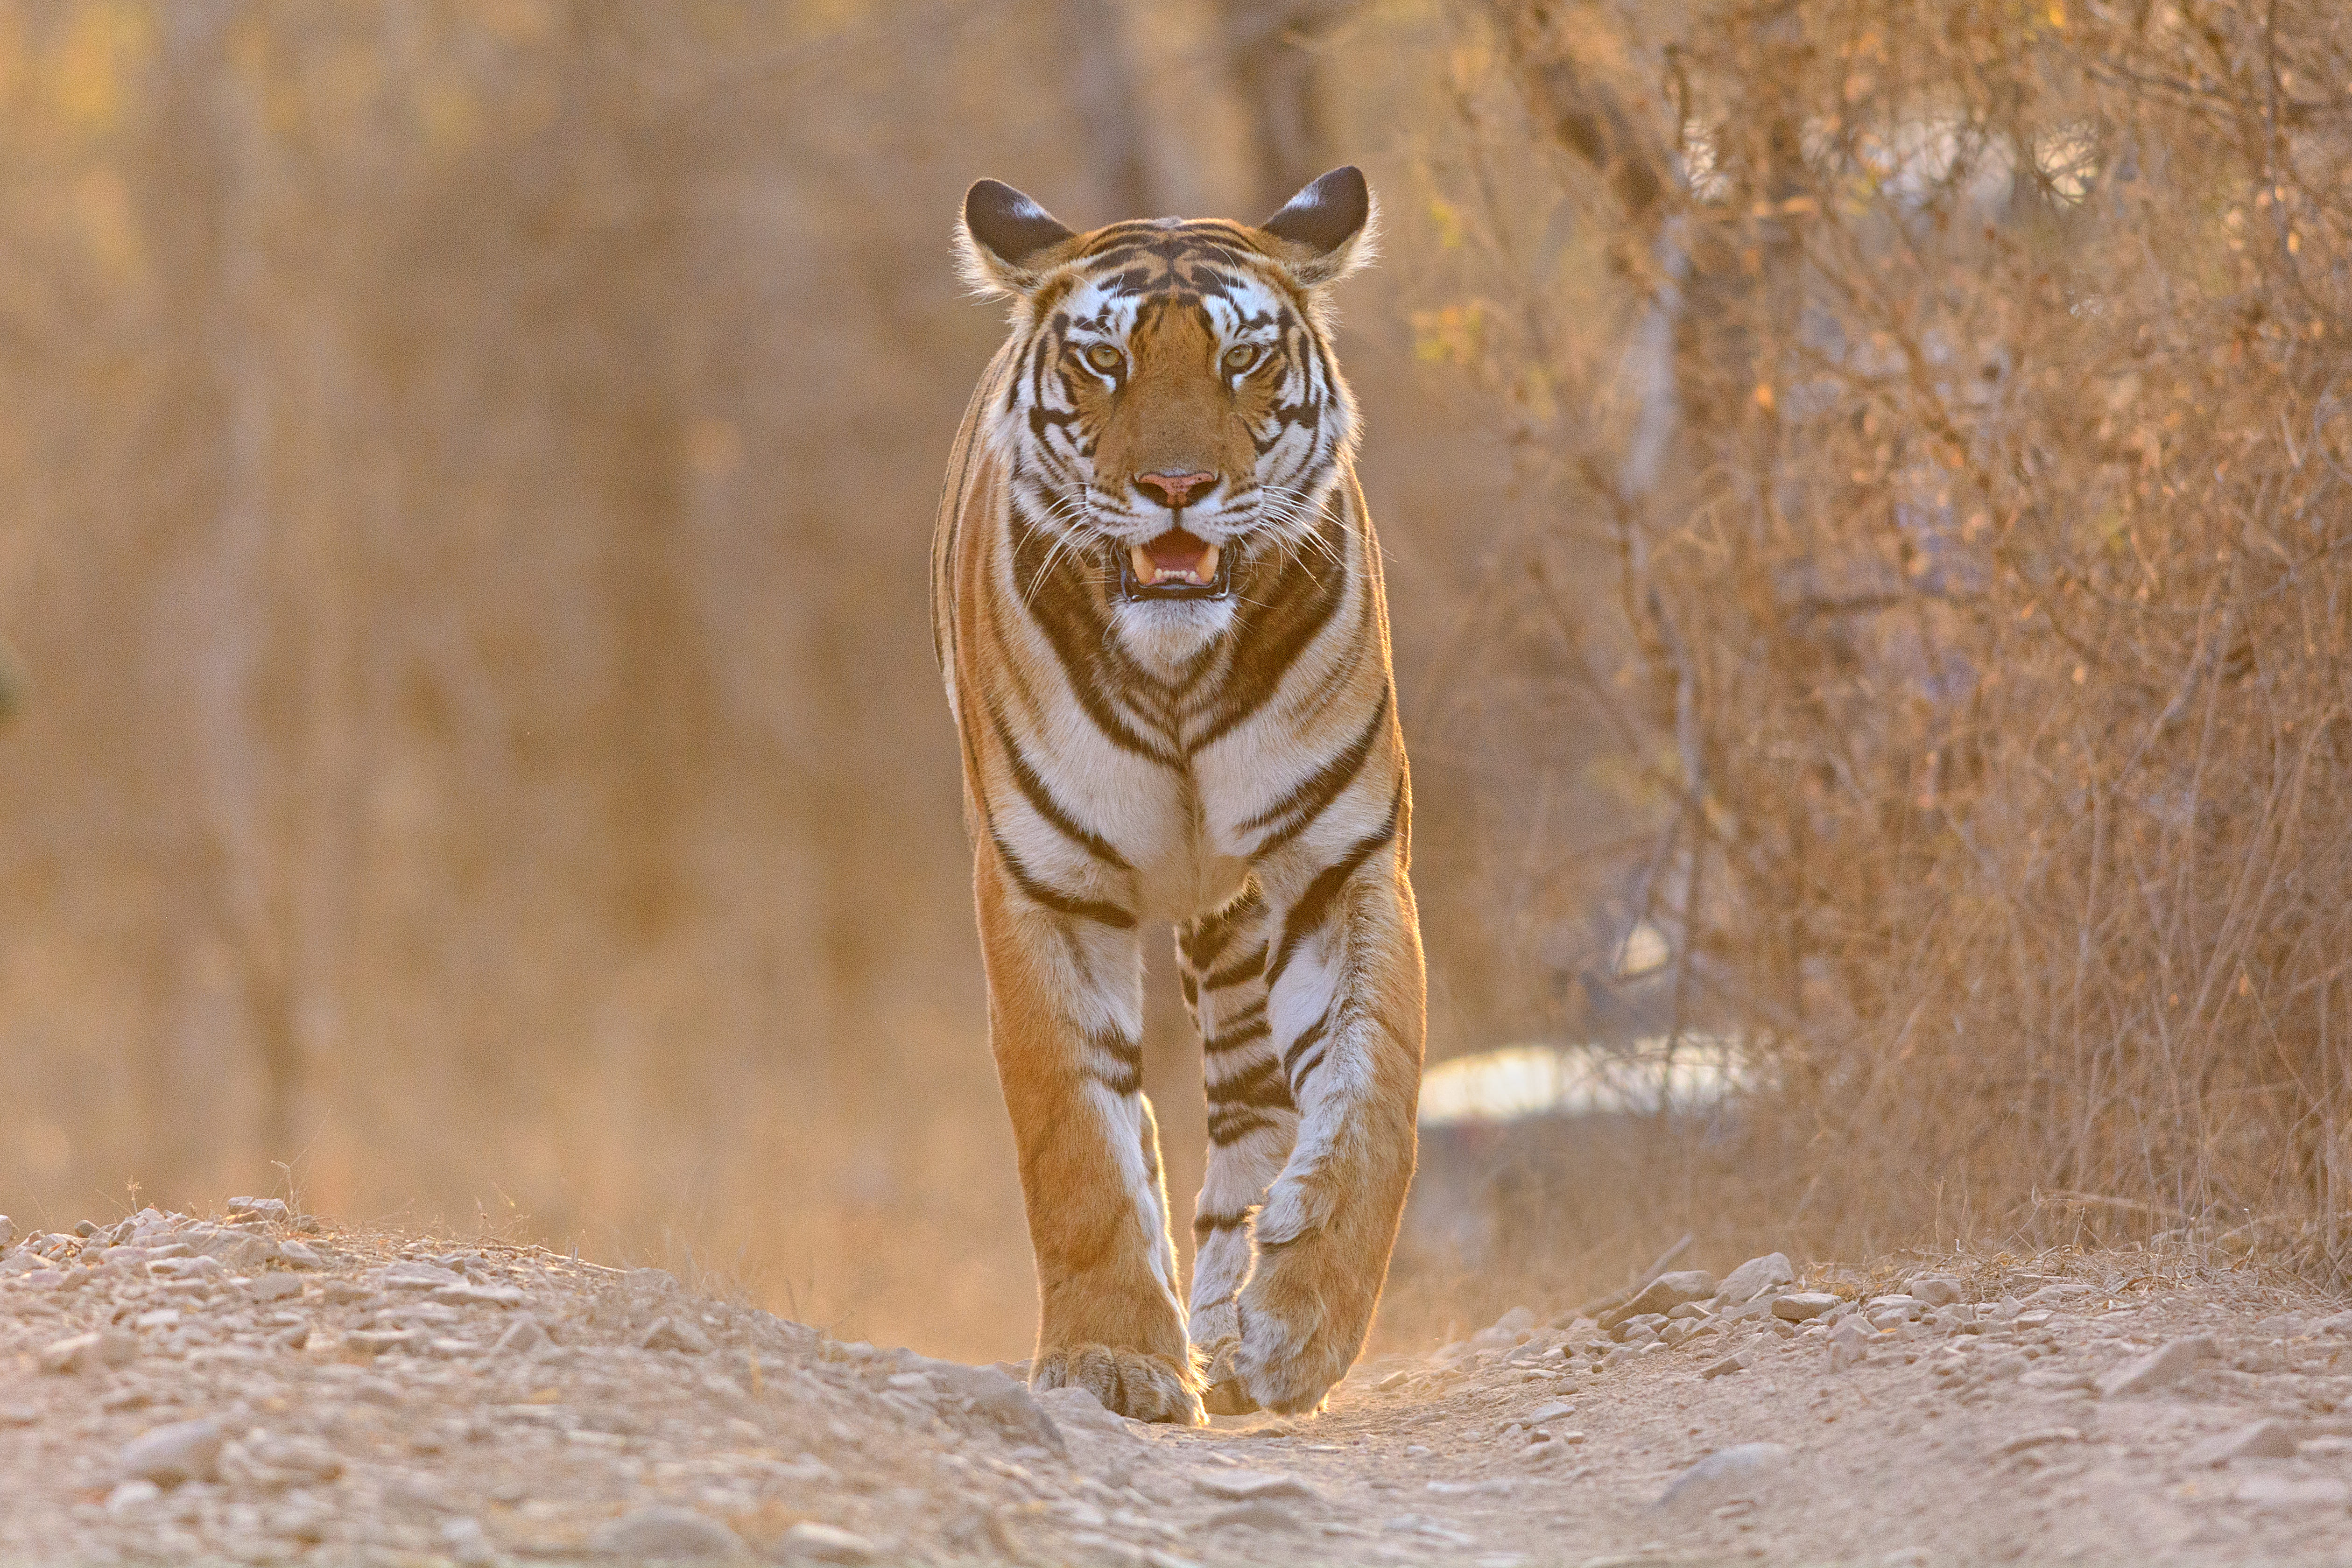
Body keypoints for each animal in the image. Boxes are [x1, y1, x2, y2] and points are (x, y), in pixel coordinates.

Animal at [931, 166, 1425, 1424]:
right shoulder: (1044, 884)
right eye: (1104, 361)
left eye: (1240, 358)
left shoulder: (1337, 861)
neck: (1177, 673)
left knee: (1253, 1110)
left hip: (1237, 919)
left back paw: (1233, 1323)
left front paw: (1299, 1323)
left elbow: (1372, 1089)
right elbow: (1076, 1135)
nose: (1174, 489)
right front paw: (1112, 1358)